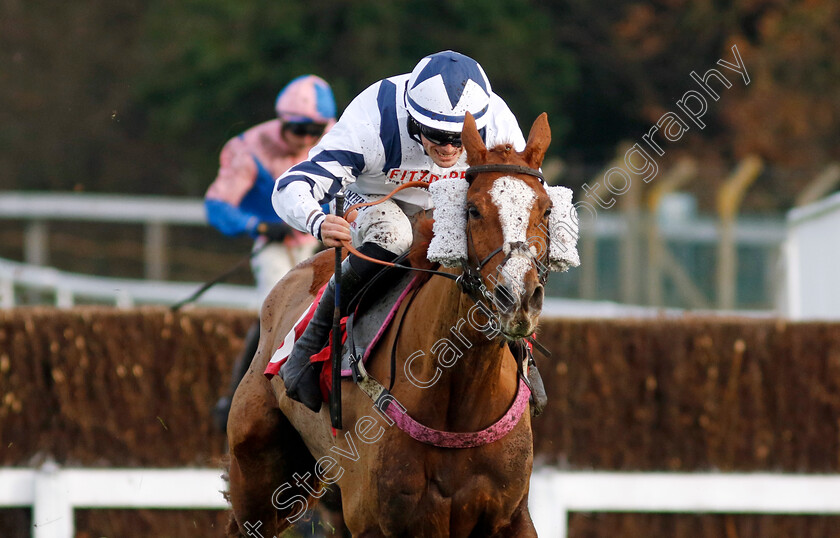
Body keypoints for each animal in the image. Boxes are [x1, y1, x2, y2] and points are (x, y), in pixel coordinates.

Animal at [223, 111, 576, 532]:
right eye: (473, 209)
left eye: (547, 210)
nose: (518, 297)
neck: (461, 399)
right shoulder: (379, 519)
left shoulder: (511, 517)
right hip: (258, 475)